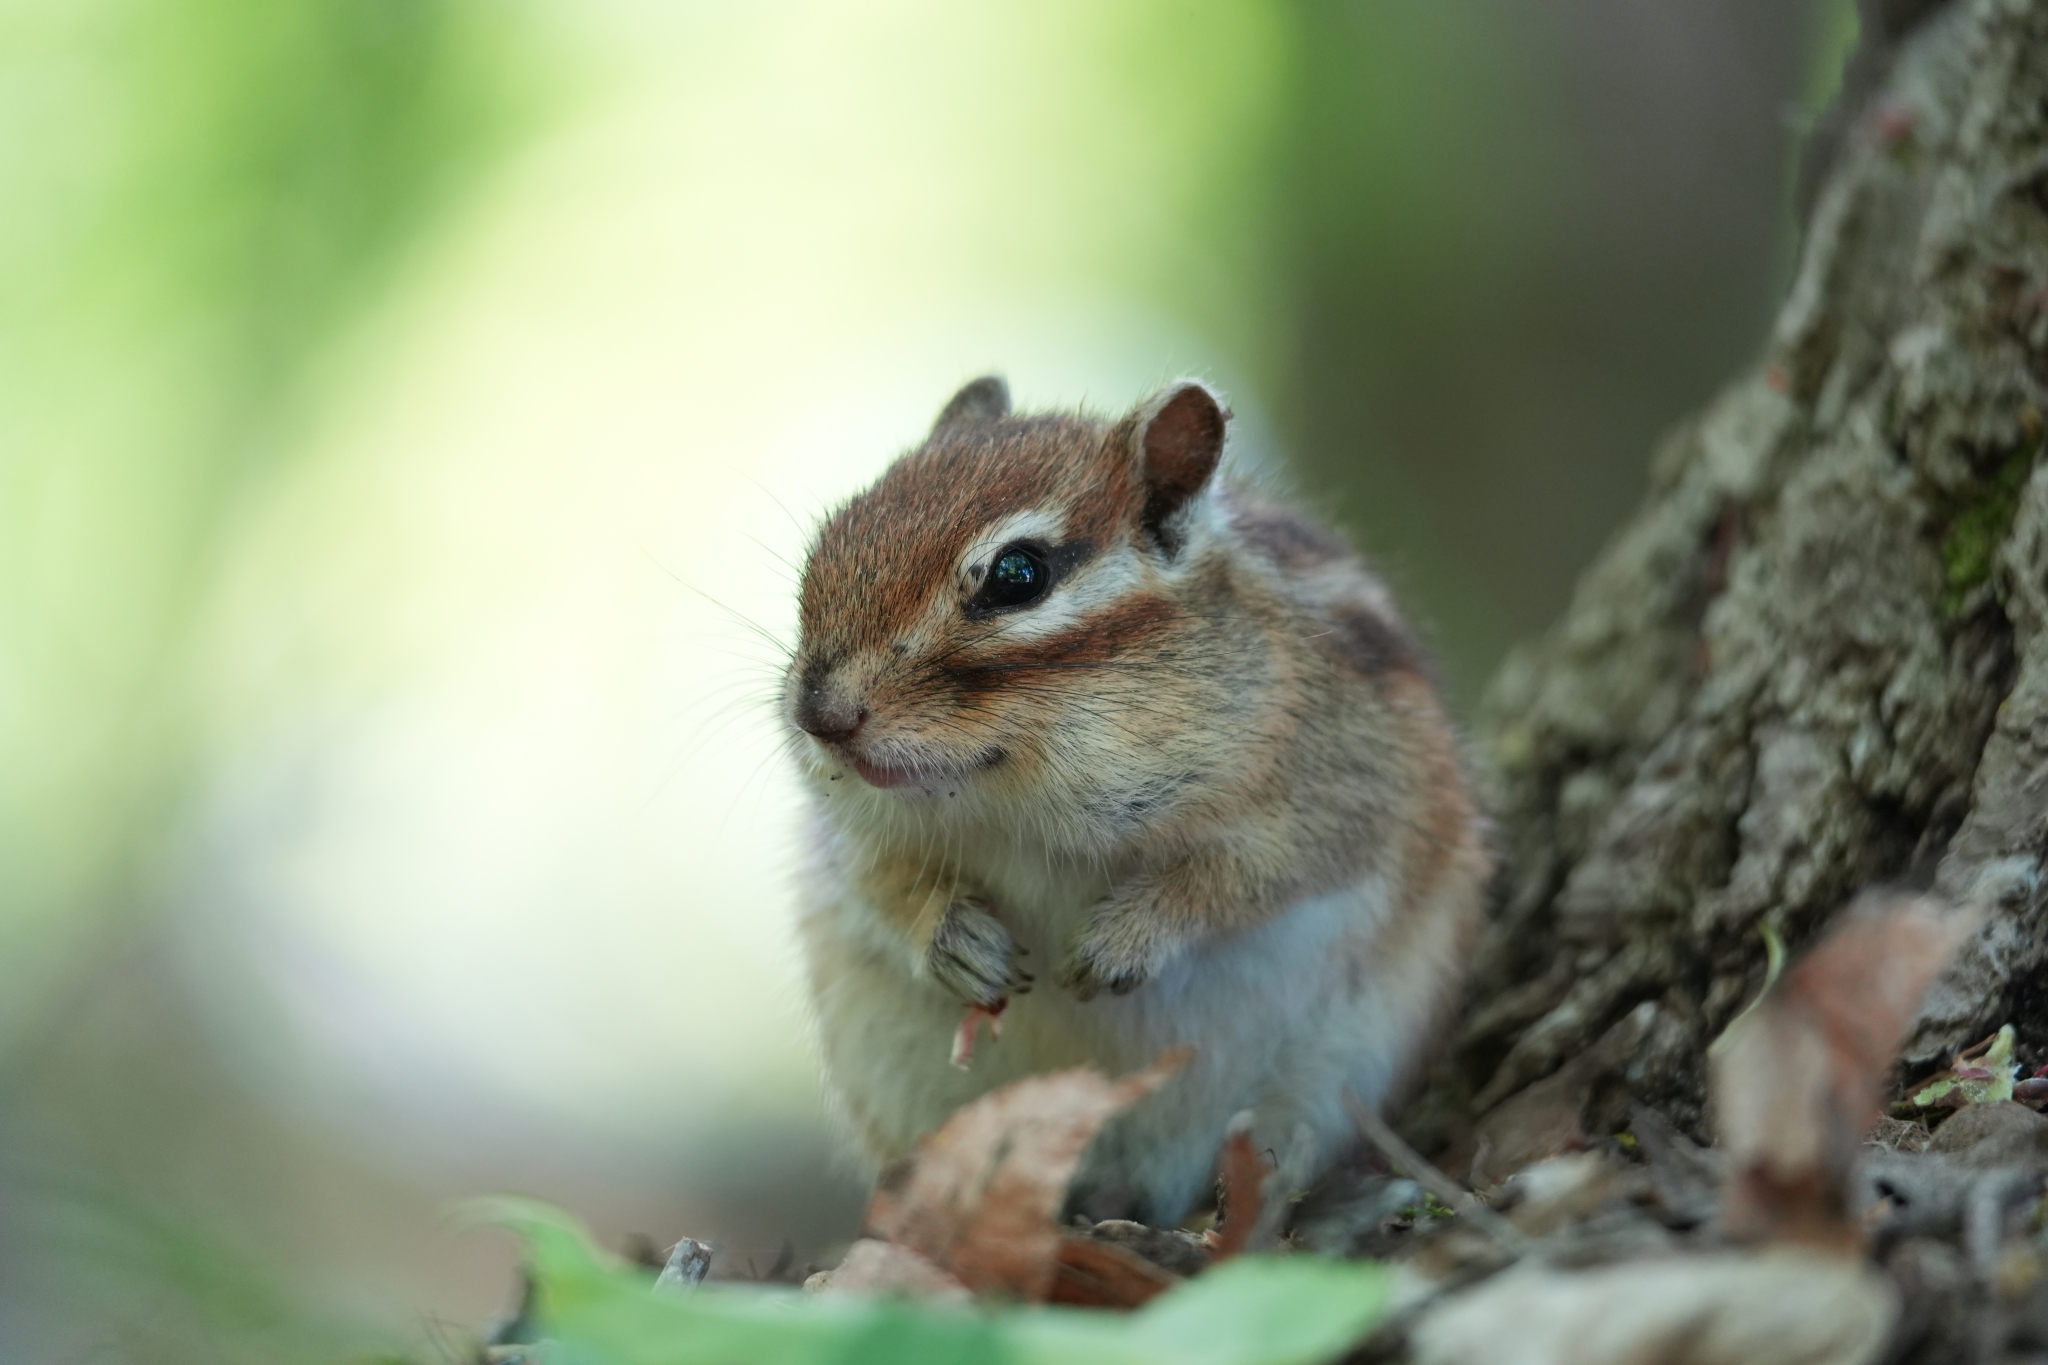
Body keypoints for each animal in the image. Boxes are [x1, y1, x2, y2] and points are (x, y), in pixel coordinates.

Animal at [783, 375, 1490, 1225]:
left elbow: (1244, 877)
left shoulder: (1346, 789)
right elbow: (883, 885)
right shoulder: (861, 838)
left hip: (1335, 1070)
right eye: (830, 539)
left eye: (1017, 574)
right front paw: (955, 940)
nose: (818, 716)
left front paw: (1123, 938)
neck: (1017, 809)